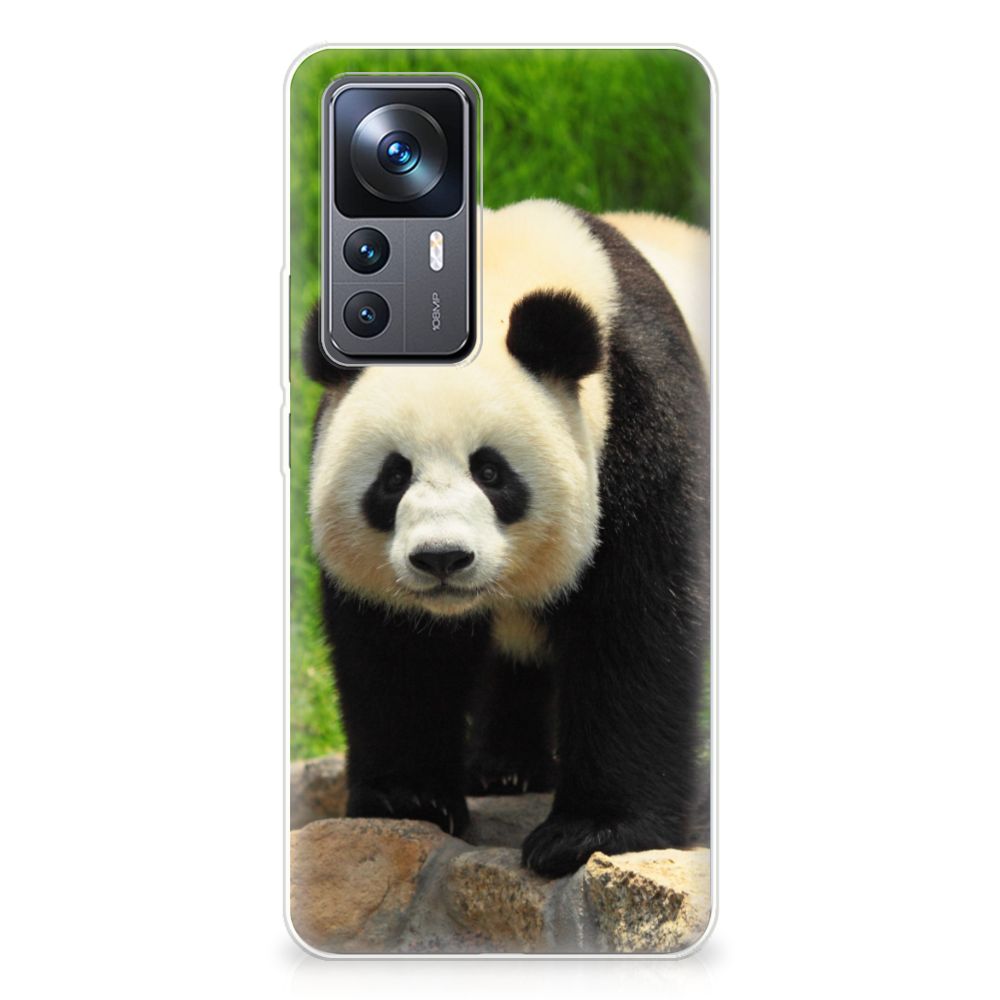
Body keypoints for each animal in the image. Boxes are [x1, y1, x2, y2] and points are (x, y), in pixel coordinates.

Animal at [302, 199, 710, 877]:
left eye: (491, 472)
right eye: (393, 476)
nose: (442, 558)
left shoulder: (643, 424)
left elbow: (635, 626)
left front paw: (589, 833)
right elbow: (396, 650)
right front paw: (408, 799)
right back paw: (504, 769)